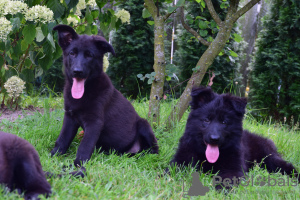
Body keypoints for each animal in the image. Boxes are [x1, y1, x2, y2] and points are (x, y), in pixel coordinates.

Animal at [51, 24, 159, 166]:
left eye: (89, 55)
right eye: (72, 53)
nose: (77, 71)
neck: (86, 92)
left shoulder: (95, 122)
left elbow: (85, 145)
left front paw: (78, 164)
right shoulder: (70, 117)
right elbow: (63, 138)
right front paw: (53, 155)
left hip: (144, 124)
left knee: (153, 151)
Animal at [168, 86, 298, 189]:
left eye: (224, 122)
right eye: (207, 120)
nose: (214, 139)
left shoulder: (233, 168)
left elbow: (227, 179)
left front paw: (222, 191)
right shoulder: (180, 160)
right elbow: (170, 171)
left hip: (270, 159)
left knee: (288, 167)